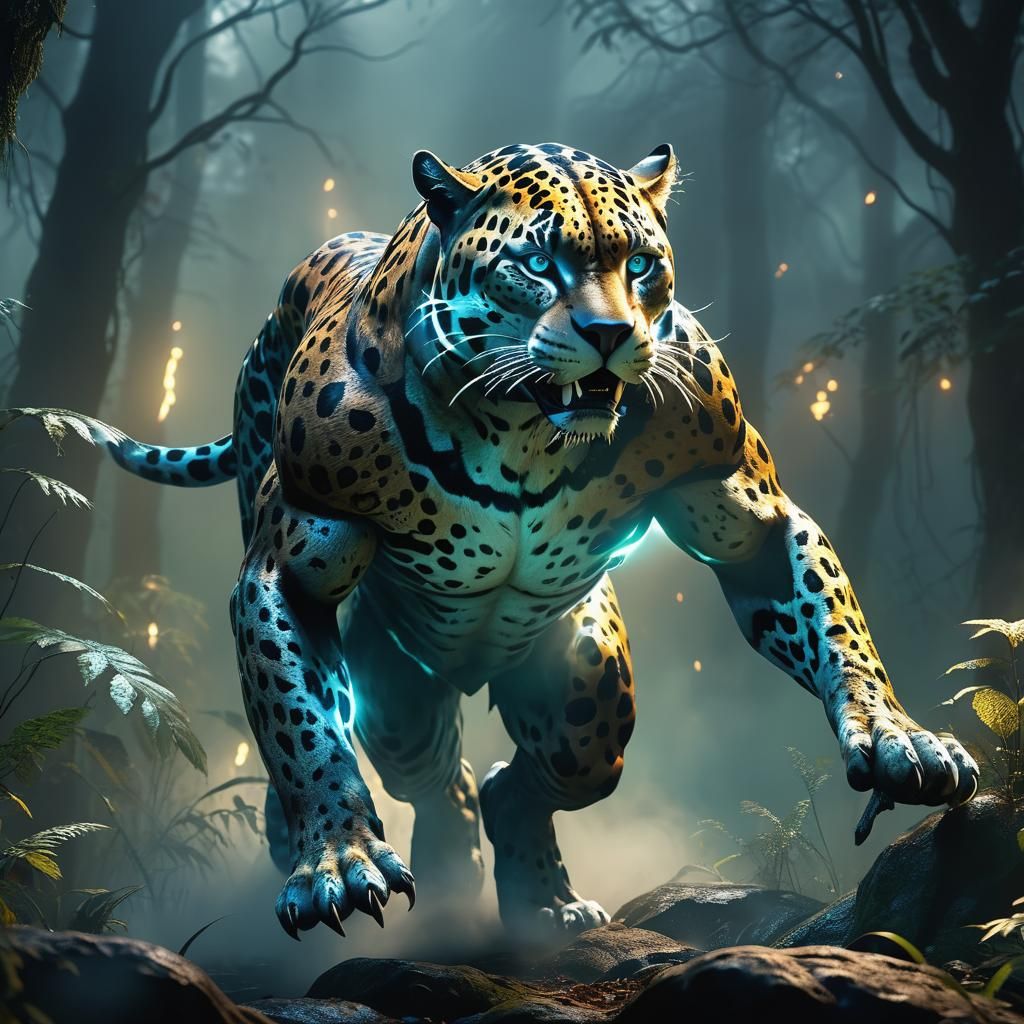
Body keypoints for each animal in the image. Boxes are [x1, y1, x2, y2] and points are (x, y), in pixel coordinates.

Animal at [94, 142, 978, 939]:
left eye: (642, 265)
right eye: (538, 266)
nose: (609, 332)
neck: (523, 430)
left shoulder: (736, 495)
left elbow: (836, 630)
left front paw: (898, 742)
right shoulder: (290, 565)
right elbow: (301, 725)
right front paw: (336, 859)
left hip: (586, 683)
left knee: (525, 775)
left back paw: (541, 903)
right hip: (395, 685)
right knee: (430, 769)